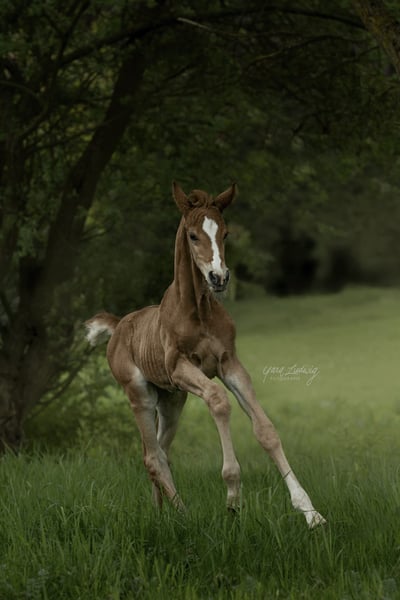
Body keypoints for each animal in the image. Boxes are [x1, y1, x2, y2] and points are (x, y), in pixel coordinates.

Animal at [85, 182, 325, 528]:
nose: (219, 277)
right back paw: (184, 517)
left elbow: (266, 430)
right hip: (140, 393)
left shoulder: (230, 364)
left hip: (171, 400)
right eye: (192, 235)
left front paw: (311, 513)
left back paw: (160, 514)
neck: (198, 310)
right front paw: (233, 496)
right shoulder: (181, 367)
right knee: (152, 456)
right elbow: (218, 400)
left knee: (162, 451)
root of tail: (118, 326)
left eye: (225, 233)